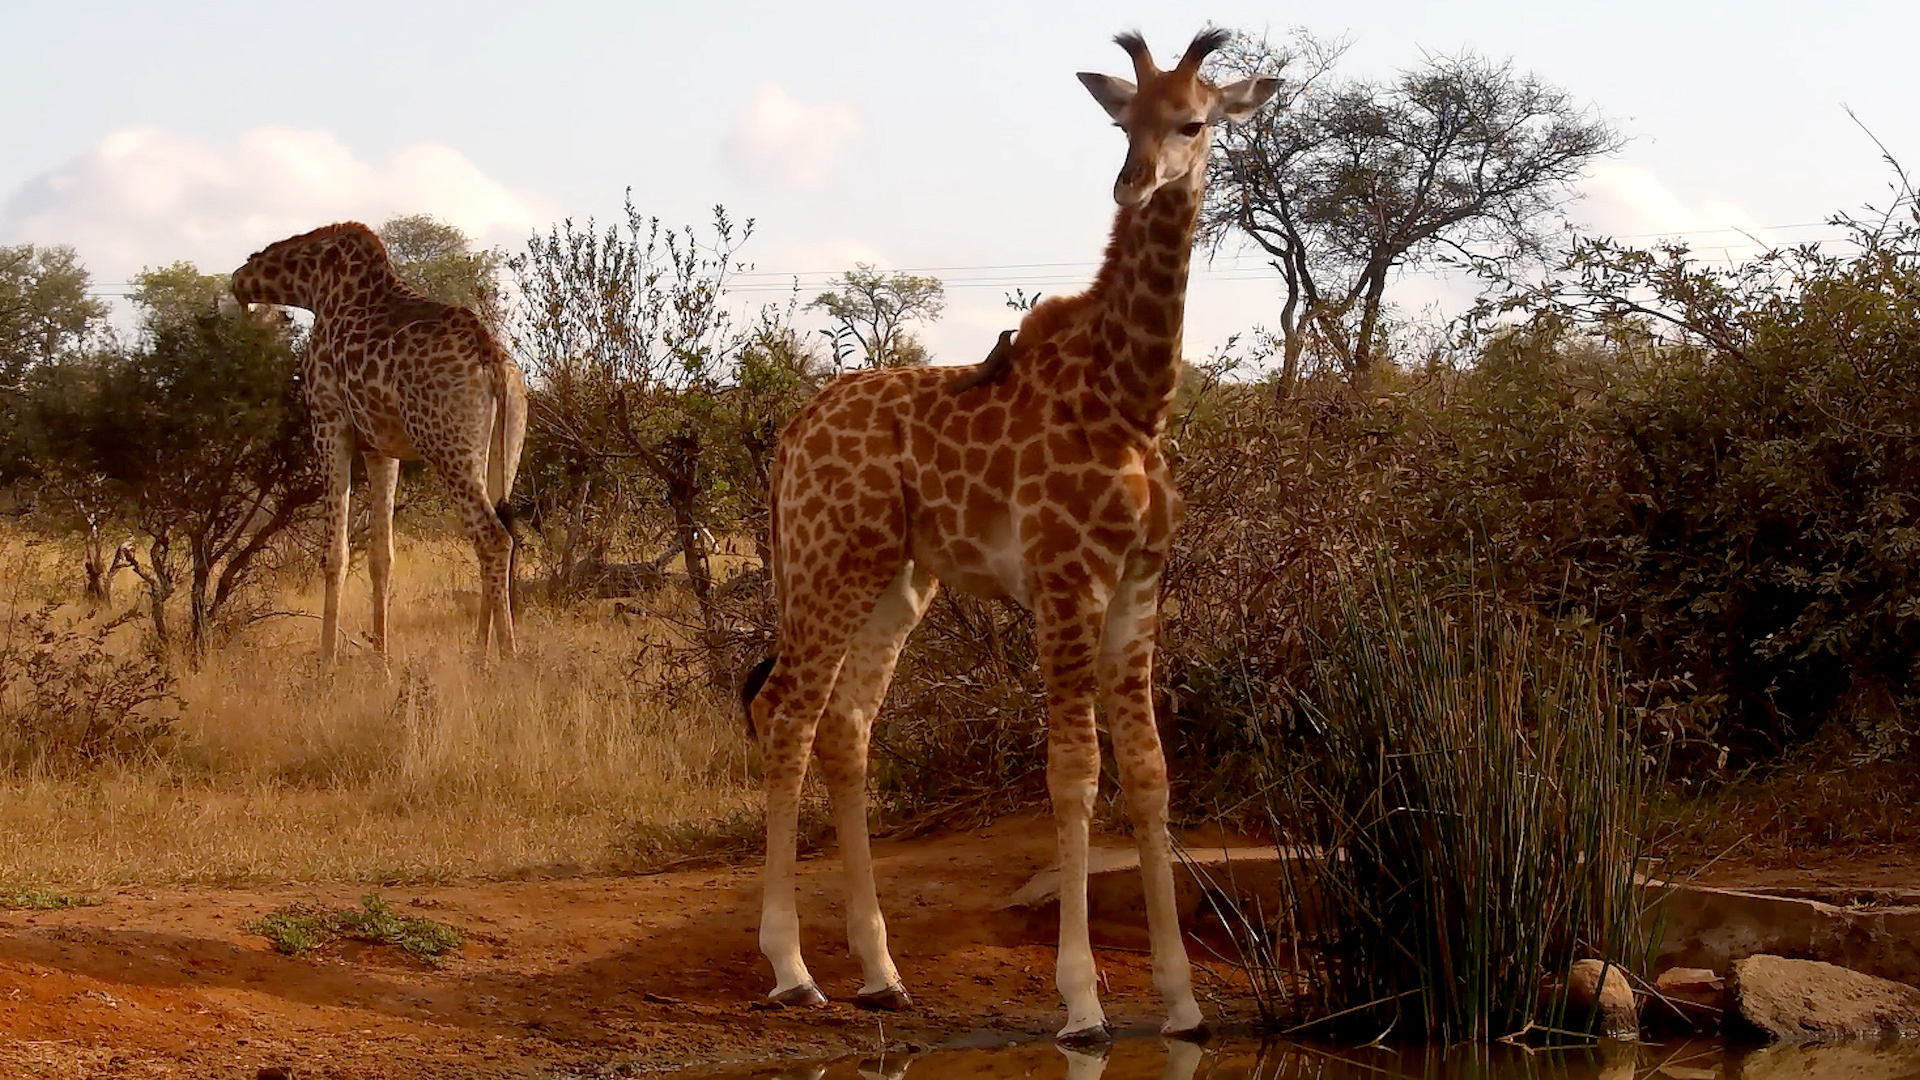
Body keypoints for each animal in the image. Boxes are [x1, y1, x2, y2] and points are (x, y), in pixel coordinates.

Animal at [230, 223, 527, 662]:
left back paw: (502, 659)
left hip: (448, 449)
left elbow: (335, 553)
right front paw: (380, 662)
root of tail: (491, 359)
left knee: (493, 538)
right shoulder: (380, 447)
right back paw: (481, 657)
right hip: (503, 451)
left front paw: (326, 662)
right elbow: (381, 557)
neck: (313, 283)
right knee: (501, 534)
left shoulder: (329, 423)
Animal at [740, 29, 1279, 1043]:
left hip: (900, 580)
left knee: (847, 725)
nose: (1133, 183)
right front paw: (1082, 1004)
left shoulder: (1140, 585)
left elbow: (1149, 772)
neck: (1132, 402)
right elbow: (1074, 774)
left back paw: (881, 974)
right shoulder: (1067, 582)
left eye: (1195, 121)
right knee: (787, 713)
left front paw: (1183, 1002)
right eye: (1123, 120)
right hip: (832, 559)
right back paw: (792, 970)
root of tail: (791, 433)